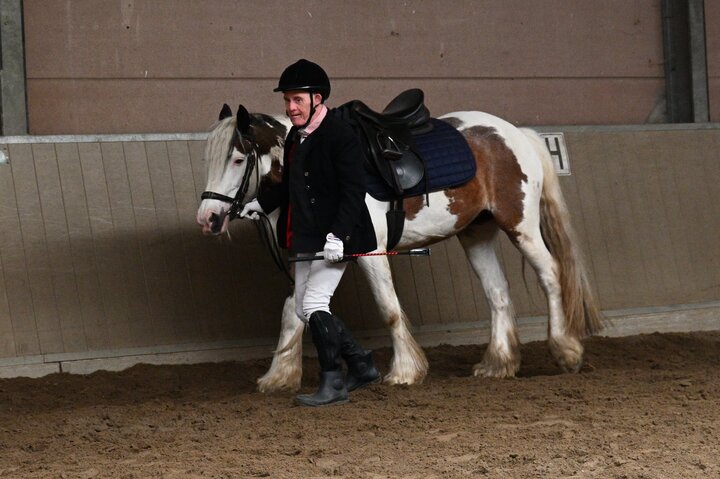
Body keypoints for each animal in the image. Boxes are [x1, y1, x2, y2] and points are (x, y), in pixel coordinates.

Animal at [196, 102, 604, 392]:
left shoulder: (370, 254)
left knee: (550, 274)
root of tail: (515, 133)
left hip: (520, 226)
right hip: (477, 233)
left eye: (237, 159)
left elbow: (388, 307)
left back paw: (565, 351)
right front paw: (278, 376)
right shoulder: (310, 259)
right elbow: (294, 312)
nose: (208, 218)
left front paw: (406, 371)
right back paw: (498, 364)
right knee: (498, 293)